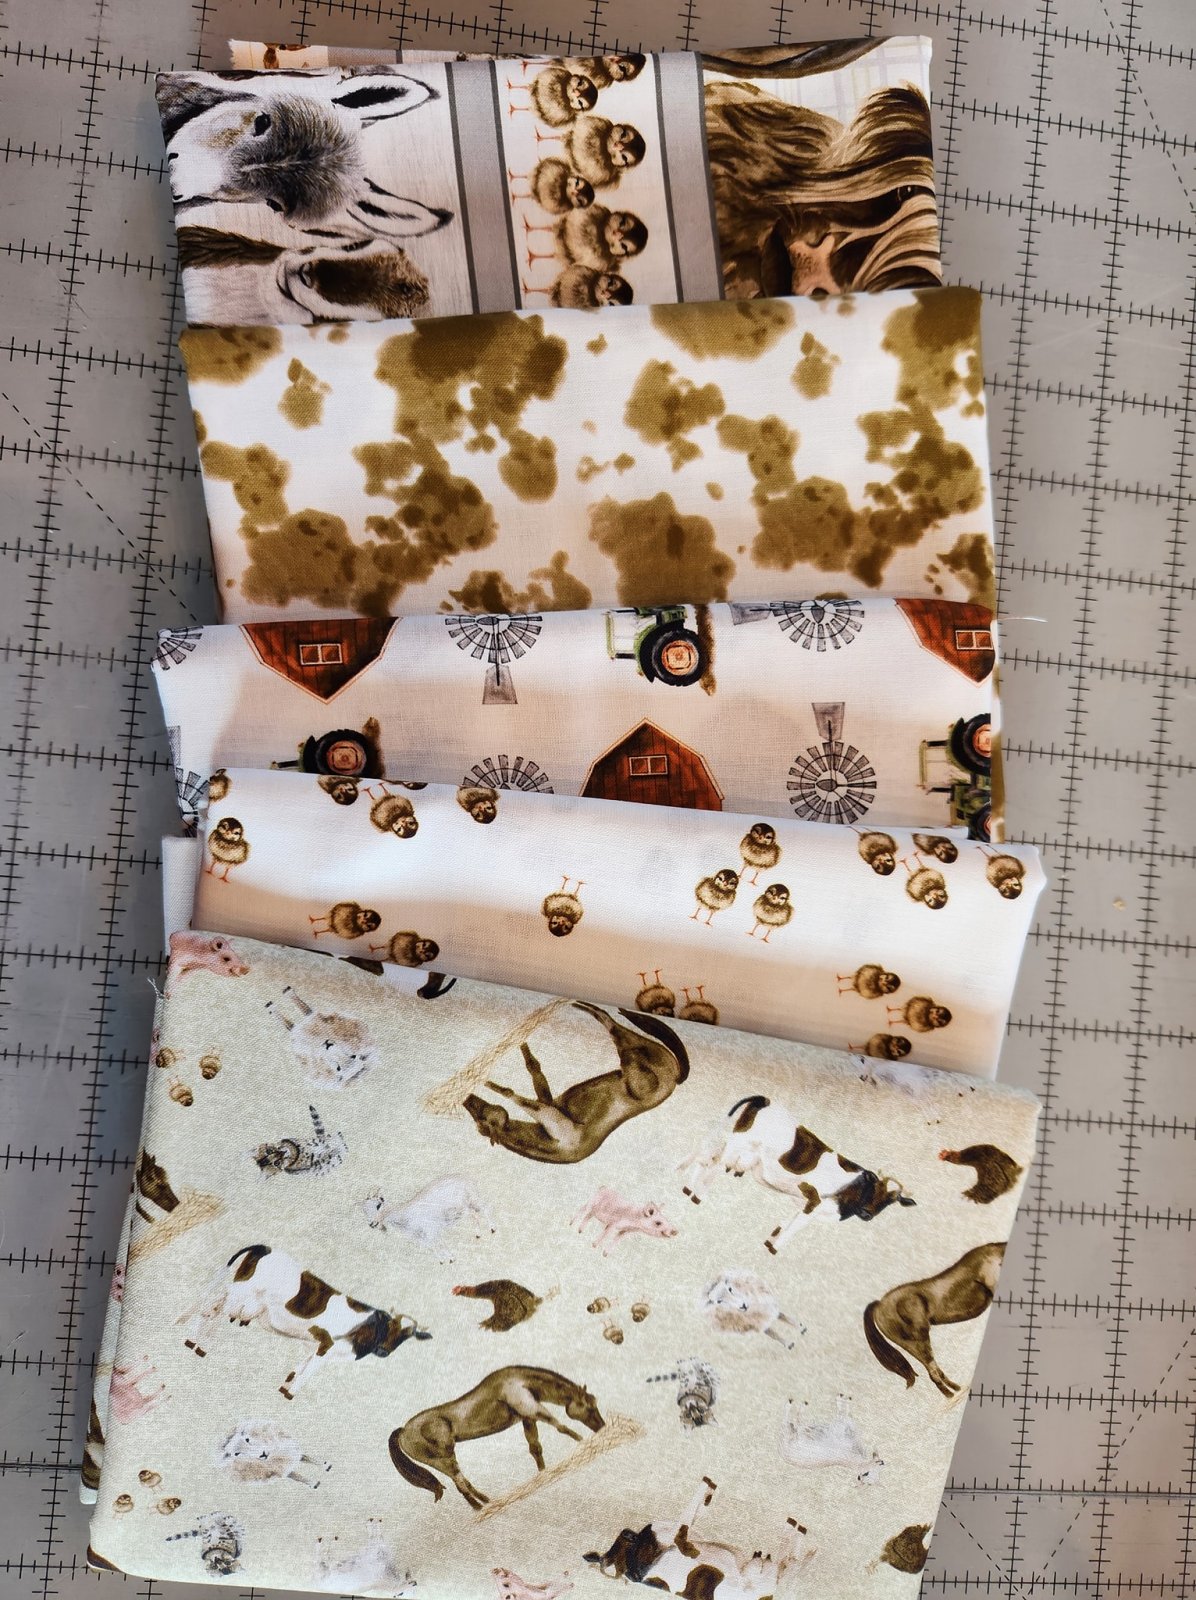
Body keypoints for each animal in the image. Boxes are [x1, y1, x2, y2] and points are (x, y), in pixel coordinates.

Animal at [176, 1244, 431, 1398]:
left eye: (408, 1336)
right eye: (387, 1326)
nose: (383, 1352)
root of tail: (265, 1248)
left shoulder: (320, 1348)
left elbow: (302, 1365)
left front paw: (286, 1385)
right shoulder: (326, 1345)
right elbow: (308, 1372)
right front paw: (292, 1393)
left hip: (240, 1298)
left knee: (213, 1309)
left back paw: (195, 1342)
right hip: (239, 1294)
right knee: (212, 1312)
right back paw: (196, 1342)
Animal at [585, 1477, 815, 1600]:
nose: (628, 1533)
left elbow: (692, 1516)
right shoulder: (682, 1541)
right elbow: (687, 1519)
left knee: (789, 1561)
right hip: (757, 1569)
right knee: (787, 1560)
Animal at [679, 1095, 915, 1254]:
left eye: (892, 1201)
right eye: (872, 1186)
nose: (867, 1214)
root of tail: (765, 1099)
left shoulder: (807, 1206)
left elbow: (787, 1222)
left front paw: (771, 1242)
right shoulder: (813, 1200)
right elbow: (794, 1228)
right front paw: (775, 1249)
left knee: (707, 1157)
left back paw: (689, 1188)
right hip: (737, 1146)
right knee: (713, 1164)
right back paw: (698, 1194)